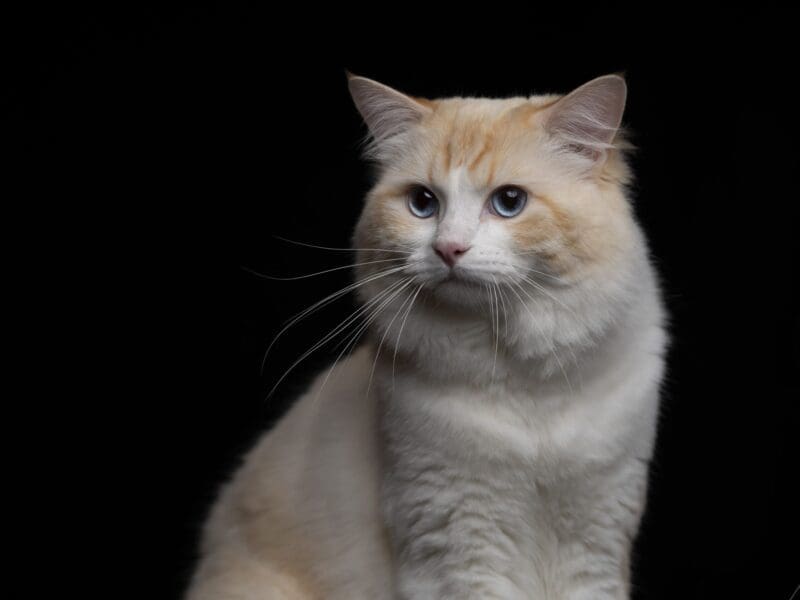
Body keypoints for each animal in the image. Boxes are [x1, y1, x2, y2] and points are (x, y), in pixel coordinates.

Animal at [184, 74, 664, 600]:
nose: (448, 249)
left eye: (509, 202)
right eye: (422, 204)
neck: (518, 376)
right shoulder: (459, 546)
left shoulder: (596, 542)